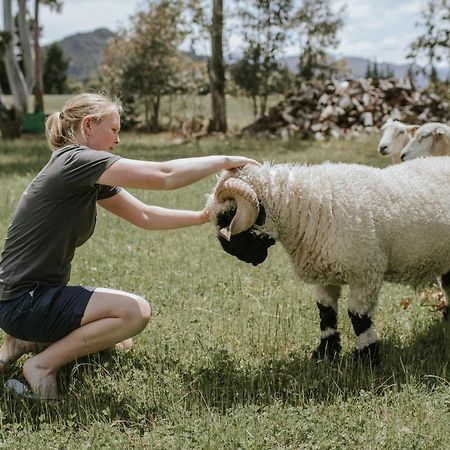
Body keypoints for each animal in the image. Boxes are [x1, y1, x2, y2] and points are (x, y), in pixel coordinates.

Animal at [207, 157, 450, 362]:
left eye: (226, 215)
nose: (231, 251)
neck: (306, 210)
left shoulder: (366, 274)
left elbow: (358, 317)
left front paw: (366, 358)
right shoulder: (324, 275)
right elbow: (326, 313)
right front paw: (325, 354)